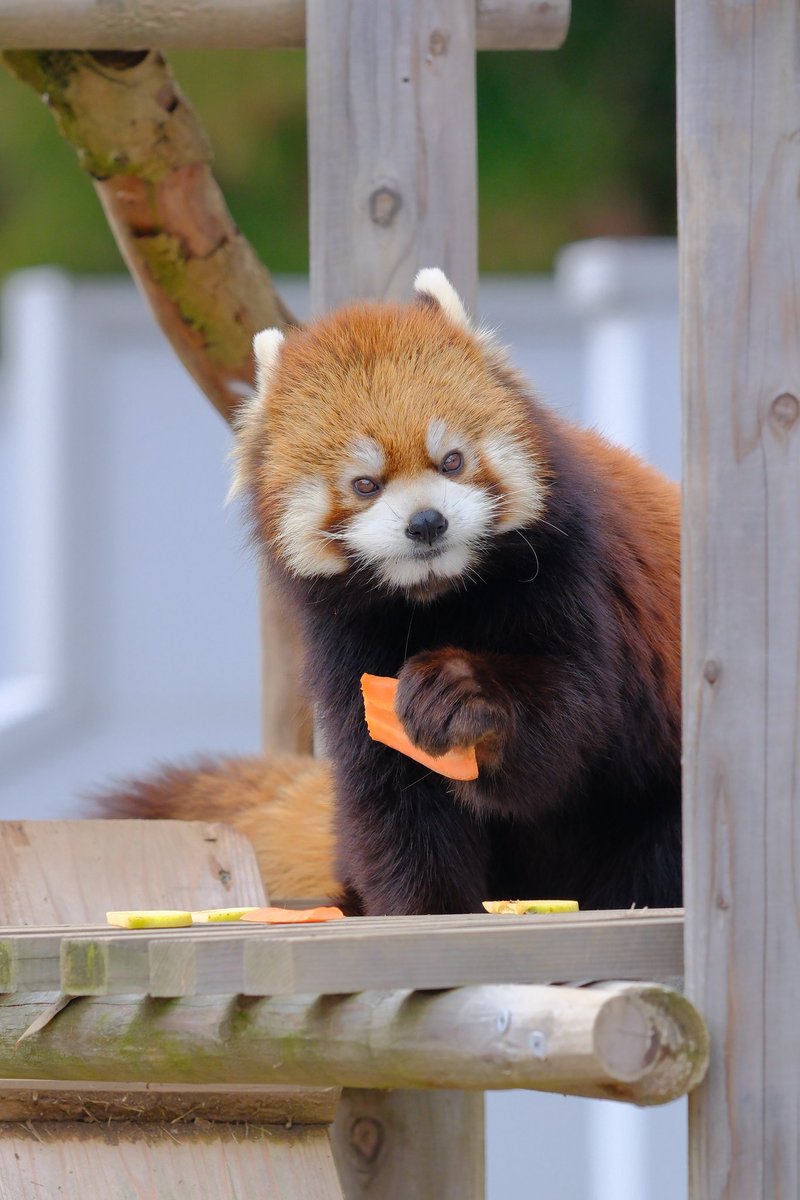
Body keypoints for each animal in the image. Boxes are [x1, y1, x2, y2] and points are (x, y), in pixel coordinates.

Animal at [97, 270, 681, 907]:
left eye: (452, 460)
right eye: (365, 484)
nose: (427, 522)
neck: (439, 595)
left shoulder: (573, 575)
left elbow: (570, 721)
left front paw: (463, 692)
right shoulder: (346, 642)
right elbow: (393, 798)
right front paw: (427, 907)